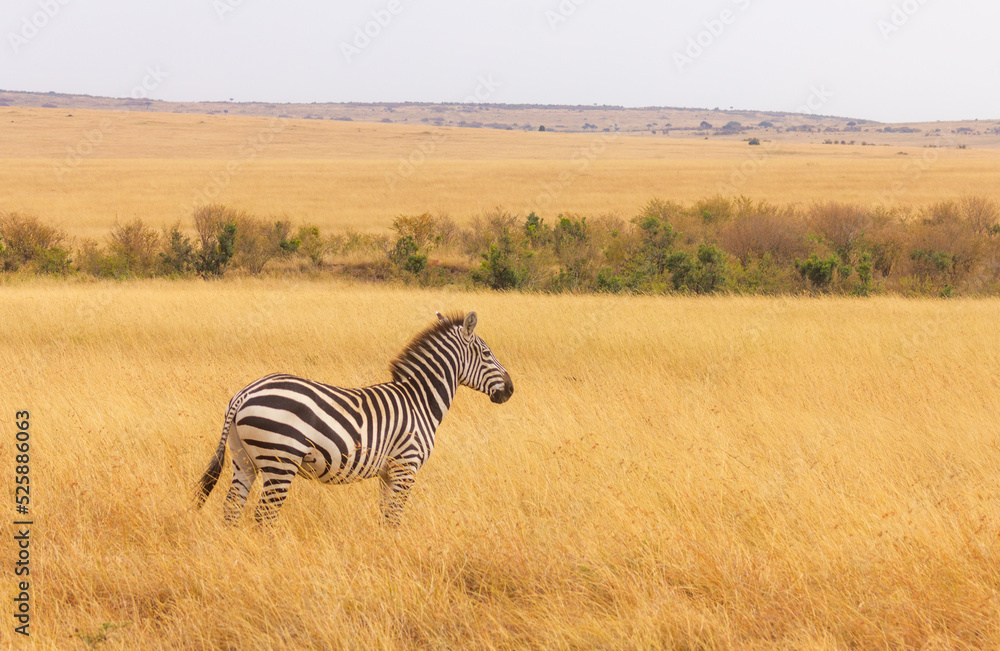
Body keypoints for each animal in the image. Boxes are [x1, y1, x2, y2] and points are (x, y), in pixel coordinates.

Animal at [196, 311, 513, 526]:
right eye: (487, 353)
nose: (510, 390)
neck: (419, 400)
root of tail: (244, 393)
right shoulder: (406, 466)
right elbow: (395, 517)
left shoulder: (388, 472)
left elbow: (385, 517)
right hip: (280, 461)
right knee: (264, 516)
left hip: (243, 458)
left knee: (232, 508)